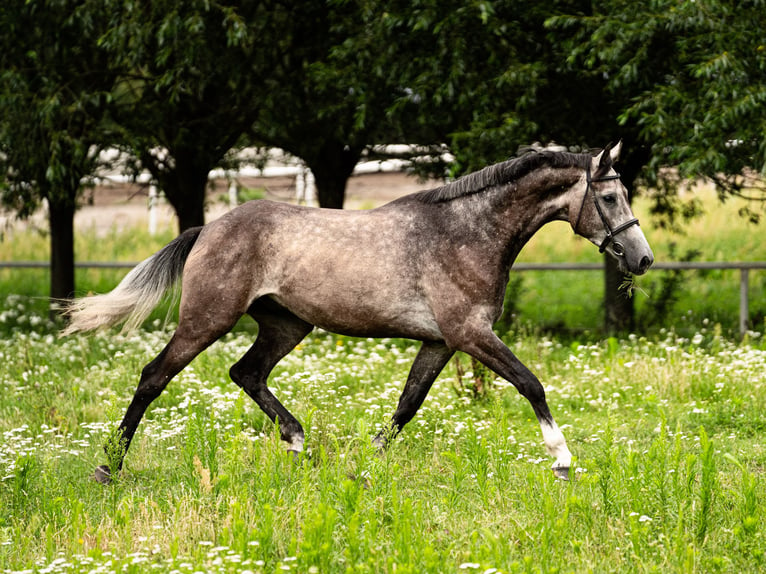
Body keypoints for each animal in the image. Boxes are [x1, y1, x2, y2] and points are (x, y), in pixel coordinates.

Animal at [64, 142, 656, 484]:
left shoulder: (441, 342)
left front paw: (363, 466)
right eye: (609, 198)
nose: (642, 259)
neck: (467, 233)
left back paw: (299, 443)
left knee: (246, 372)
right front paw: (562, 460)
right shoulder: (470, 334)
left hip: (287, 324)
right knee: (154, 376)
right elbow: (532, 383)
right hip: (207, 321)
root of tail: (208, 227)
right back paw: (109, 466)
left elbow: (406, 405)